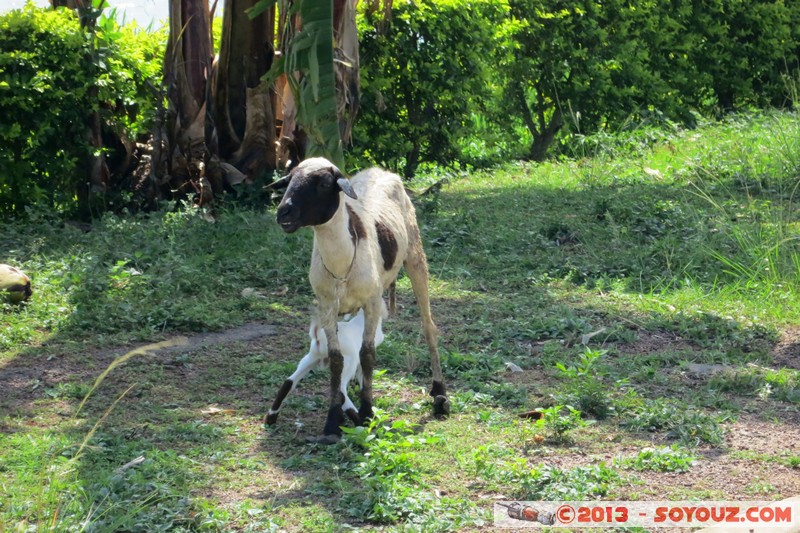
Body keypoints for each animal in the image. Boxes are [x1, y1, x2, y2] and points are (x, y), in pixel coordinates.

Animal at [268, 156, 444, 438]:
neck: (341, 263)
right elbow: (336, 359)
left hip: (416, 255)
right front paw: (332, 423)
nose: (283, 212)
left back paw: (440, 395)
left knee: (429, 326)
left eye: (324, 183)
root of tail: (380, 170)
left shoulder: (372, 303)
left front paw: (367, 412)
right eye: (290, 179)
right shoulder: (327, 305)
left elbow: (367, 354)